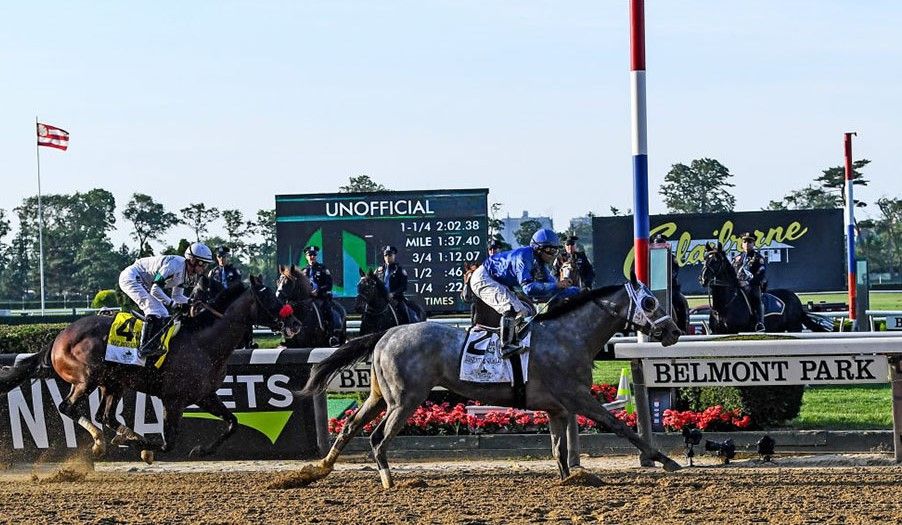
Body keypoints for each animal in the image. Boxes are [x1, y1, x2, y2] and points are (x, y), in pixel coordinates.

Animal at [0, 276, 302, 460]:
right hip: (87, 377)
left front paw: (200, 450)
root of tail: (58, 337)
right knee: (69, 407)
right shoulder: (173, 399)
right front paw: (144, 449)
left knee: (105, 415)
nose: (295, 323)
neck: (204, 342)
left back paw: (120, 435)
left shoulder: (205, 395)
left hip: (113, 383)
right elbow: (169, 442)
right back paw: (101, 441)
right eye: (270, 296)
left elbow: (233, 422)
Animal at [296, 276, 684, 486]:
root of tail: (387, 333)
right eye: (649, 302)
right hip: (405, 399)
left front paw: (570, 479)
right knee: (377, 437)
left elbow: (559, 449)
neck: (569, 335)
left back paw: (319, 468)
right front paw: (666, 460)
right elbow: (621, 426)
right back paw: (391, 481)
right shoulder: (578, 397)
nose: (673, 332)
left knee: (350, 427)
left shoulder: (557, 408)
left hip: (380, 396)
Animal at [704, 244, 836, 334]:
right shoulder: (718, 332)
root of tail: (795, 298)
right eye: (705, 259)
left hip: (794, 327)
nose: (703, 278)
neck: (725, 306)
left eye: (715, 260)